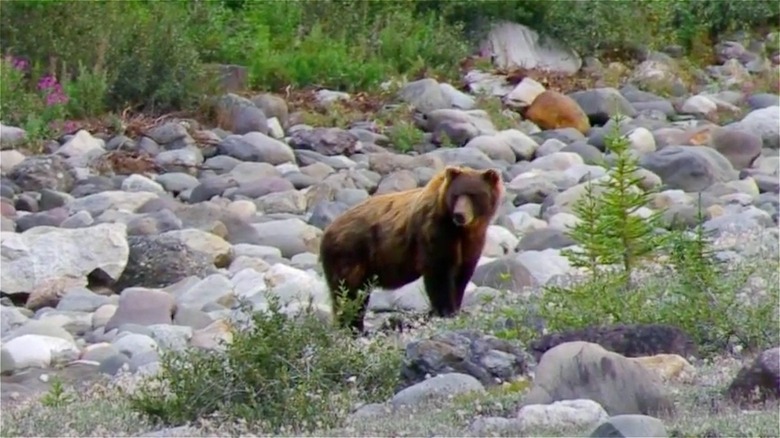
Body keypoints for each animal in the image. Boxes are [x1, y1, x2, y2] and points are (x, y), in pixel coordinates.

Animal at [318, 166, 506, 334]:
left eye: (473, 194)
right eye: (456, 194)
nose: (459, 214)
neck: (462, 230)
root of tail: (327, 231)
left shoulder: (472, 242)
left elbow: (462, 275)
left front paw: (456, 307)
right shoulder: (435, 231)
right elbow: (440, 272)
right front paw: (445, 311)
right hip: (350, 253)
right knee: (348, 292)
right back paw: (351, 327)